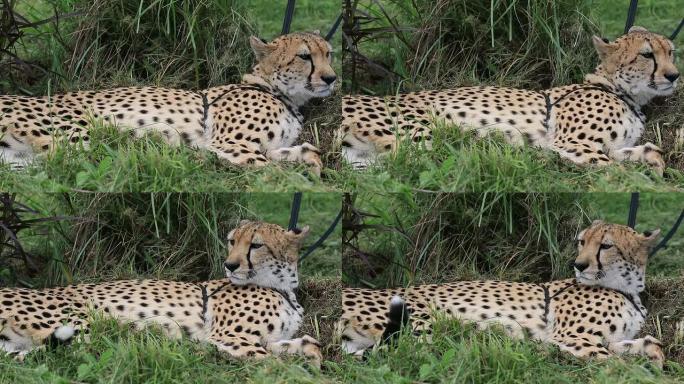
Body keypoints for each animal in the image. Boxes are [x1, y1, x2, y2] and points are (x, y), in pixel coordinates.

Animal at [0, 31, 336, 176]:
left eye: (328, 53)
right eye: (305, 56)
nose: (332, 78)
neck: (276, 91)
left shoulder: (264, 146)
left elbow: (301, 152)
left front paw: (310, 163)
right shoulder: (231, 144)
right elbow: (273, 170)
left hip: (20, 162)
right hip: (78, 134)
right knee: (78, 162)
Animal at [0, 219, 324, 366]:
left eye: (256, 245)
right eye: (232, 241)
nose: (230, 265)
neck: (281, 287)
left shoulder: (267, 339)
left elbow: (310, 344)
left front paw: (312, 361)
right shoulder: (230, 337)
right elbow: (274, 363)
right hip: (87, 323)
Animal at [340, 27, 680, 176]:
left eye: (671, 51)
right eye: (647, 54)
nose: (674, 75)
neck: (619, 91)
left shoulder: (607, 146)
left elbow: (642, 152)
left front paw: (654, 162)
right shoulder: (574, 143)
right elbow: (617, 171)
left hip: (364, 162)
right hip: (421, 133)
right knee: (436, 163)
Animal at [340, 220, 668, 368]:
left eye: (606, 245)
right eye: (582, 241)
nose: (579, 265)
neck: (625, 289)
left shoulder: (606, 339)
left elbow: (650, 344)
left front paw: (653, 359)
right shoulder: (572, 337)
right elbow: (616, 363)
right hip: (426, 323)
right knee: (406, 353)